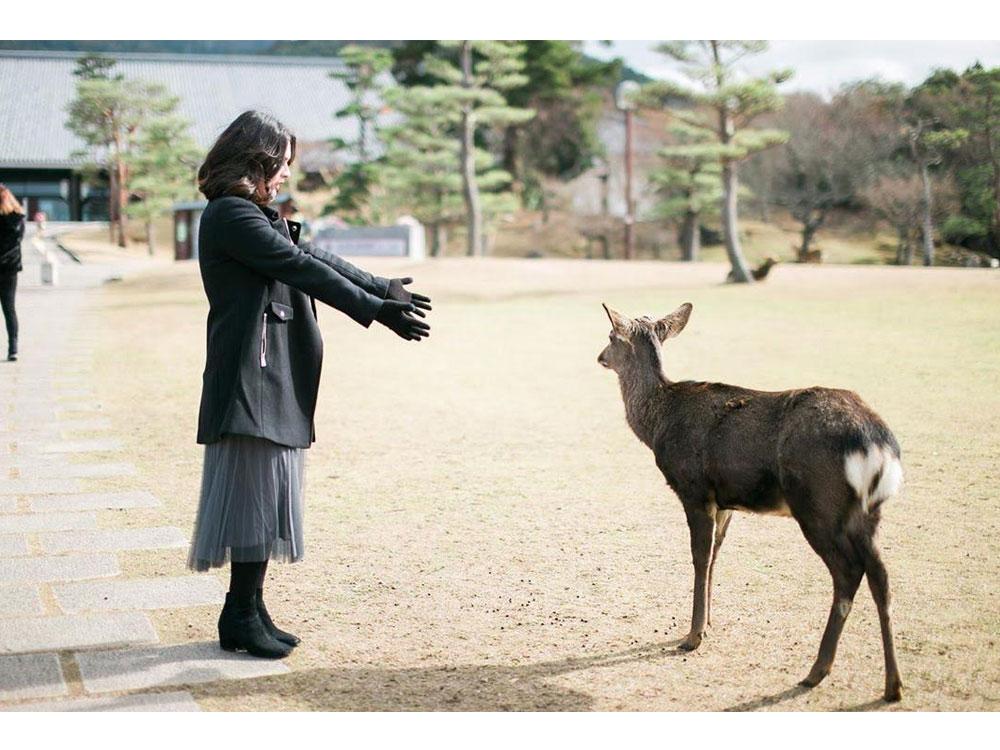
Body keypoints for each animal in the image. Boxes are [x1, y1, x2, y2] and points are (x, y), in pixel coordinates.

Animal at [598, 302, 903, 702]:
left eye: (610, 335)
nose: (600, 357)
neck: (656, 425)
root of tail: (876, 443)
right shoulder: (727, 501)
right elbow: (715, 557)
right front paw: (708, 622)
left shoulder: (694, 490)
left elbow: (699, 558)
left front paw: (692, 636)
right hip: (868, 511)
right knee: (881, 575)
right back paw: (892, 685)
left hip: (818, 504)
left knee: (848, 572)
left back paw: (817, 670)